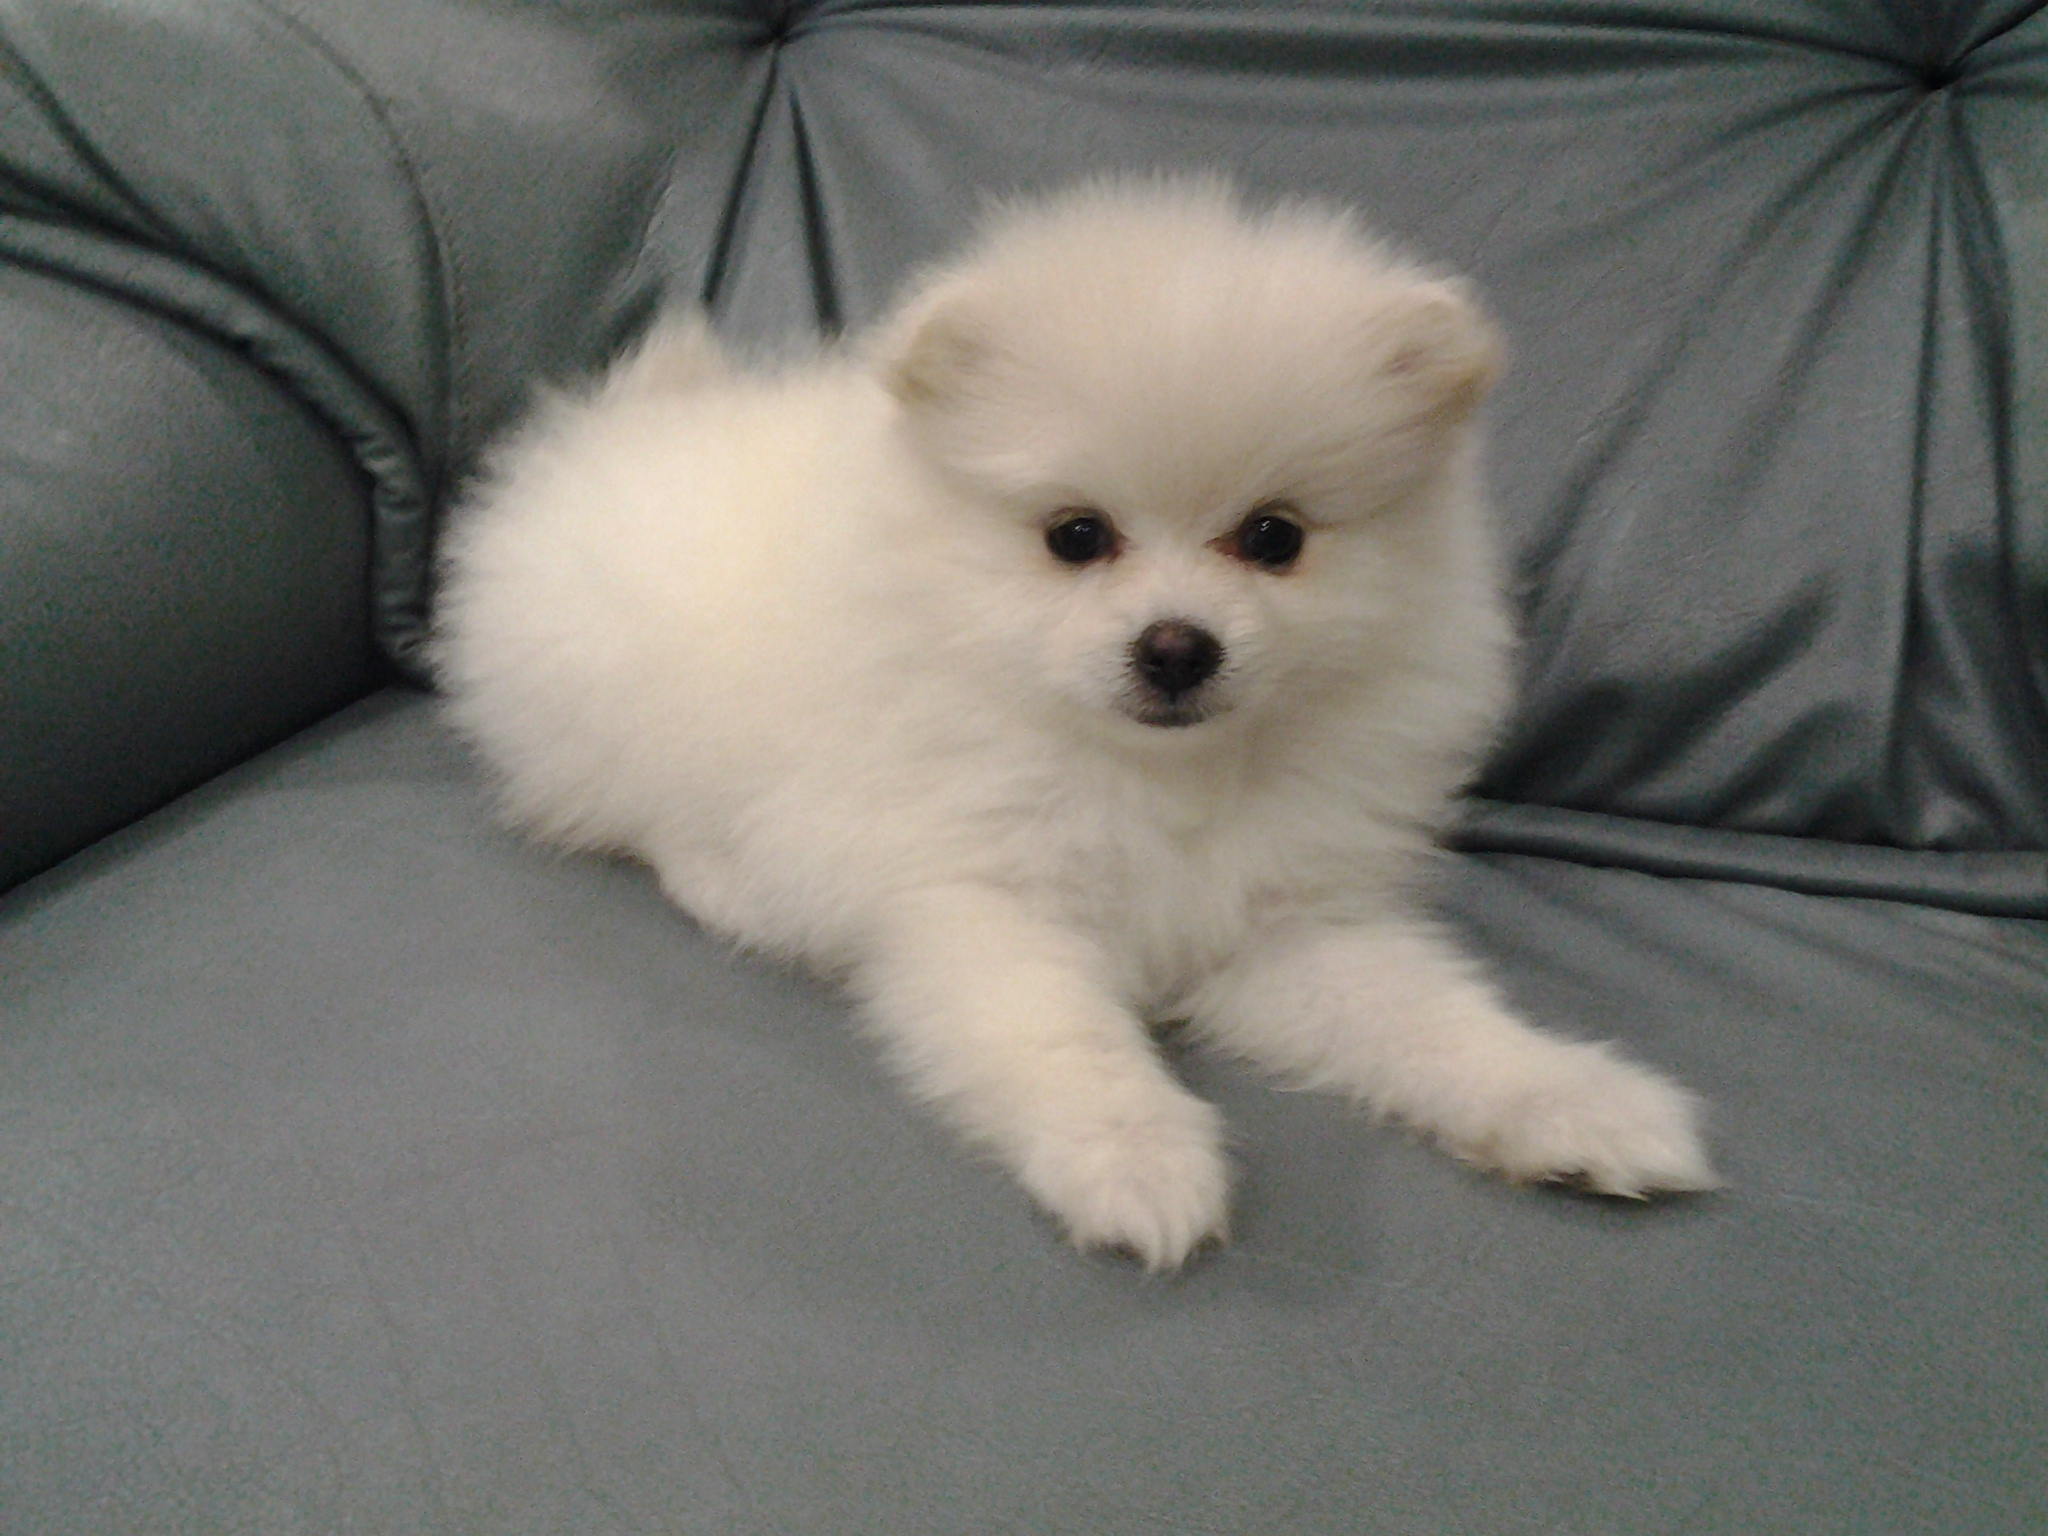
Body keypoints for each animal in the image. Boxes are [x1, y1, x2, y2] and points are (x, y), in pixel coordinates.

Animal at [434, 178, 1716, 1270]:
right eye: (1074, 536)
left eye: (1274, 537)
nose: (1175, 647)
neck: (1154, 775)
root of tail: (612, 428)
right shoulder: (977, 901)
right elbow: (1061, 1040)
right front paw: (1137, 1159)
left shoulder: (1279, 921)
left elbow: (1427, 1018)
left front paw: (1567, 1098)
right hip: (614, 708)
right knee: (638, 818)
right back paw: (731, 885)